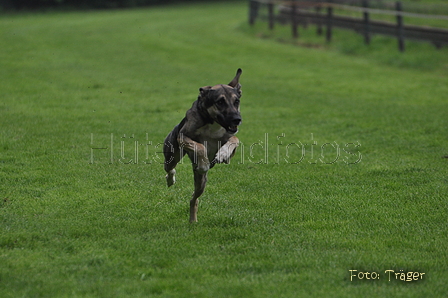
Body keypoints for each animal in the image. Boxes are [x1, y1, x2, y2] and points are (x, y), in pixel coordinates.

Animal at [164, 67, 243, 221]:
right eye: (220, 102)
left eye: (236, 101)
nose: (237, 119)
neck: (213, 123)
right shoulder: (183, 137)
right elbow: (200, 147)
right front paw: (204, 163)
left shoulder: (230, 147)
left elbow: (234, 140)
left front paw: (222, 154)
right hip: (172, 153)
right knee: (170, 168)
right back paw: (171, 180)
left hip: (201, 182)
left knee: (193, 199)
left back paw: (193, 220)